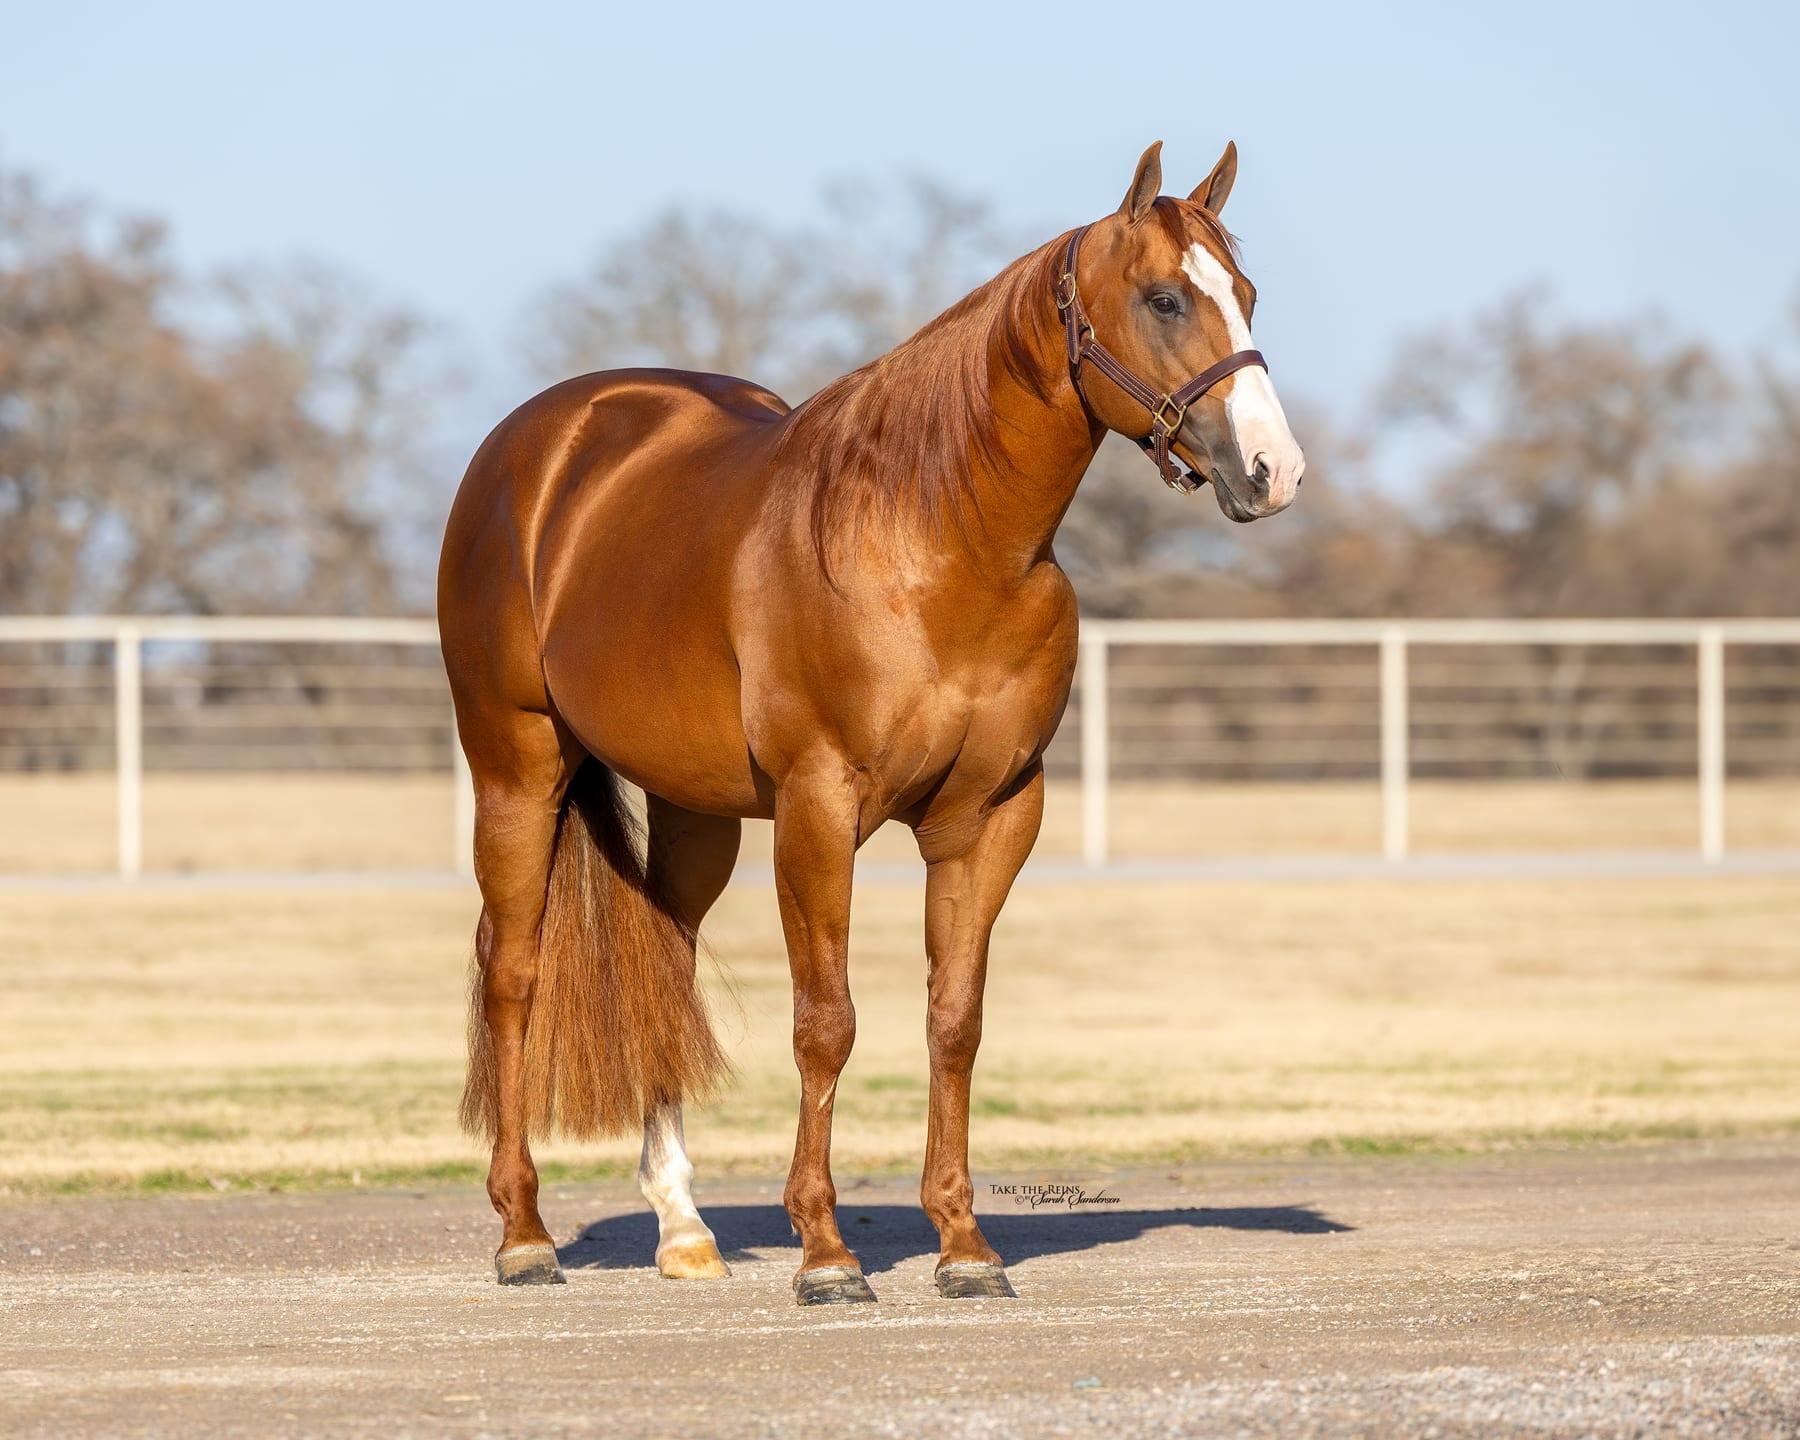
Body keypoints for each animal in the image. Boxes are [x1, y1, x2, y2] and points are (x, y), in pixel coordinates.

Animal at [437, 139, 1304, 1304]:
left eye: (1246, 294)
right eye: (1166, 297)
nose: (1273, 471)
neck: (938, 544)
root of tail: (538, 447)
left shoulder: (991, 818)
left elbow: (954, 1021)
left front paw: (964, 1245)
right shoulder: (819, 808)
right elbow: (827, 1022)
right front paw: (826, 1252)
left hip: (697, 809)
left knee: (667, 961)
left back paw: (682, 1228)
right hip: (518, 767)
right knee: (514, 973)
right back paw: (524, 1232)